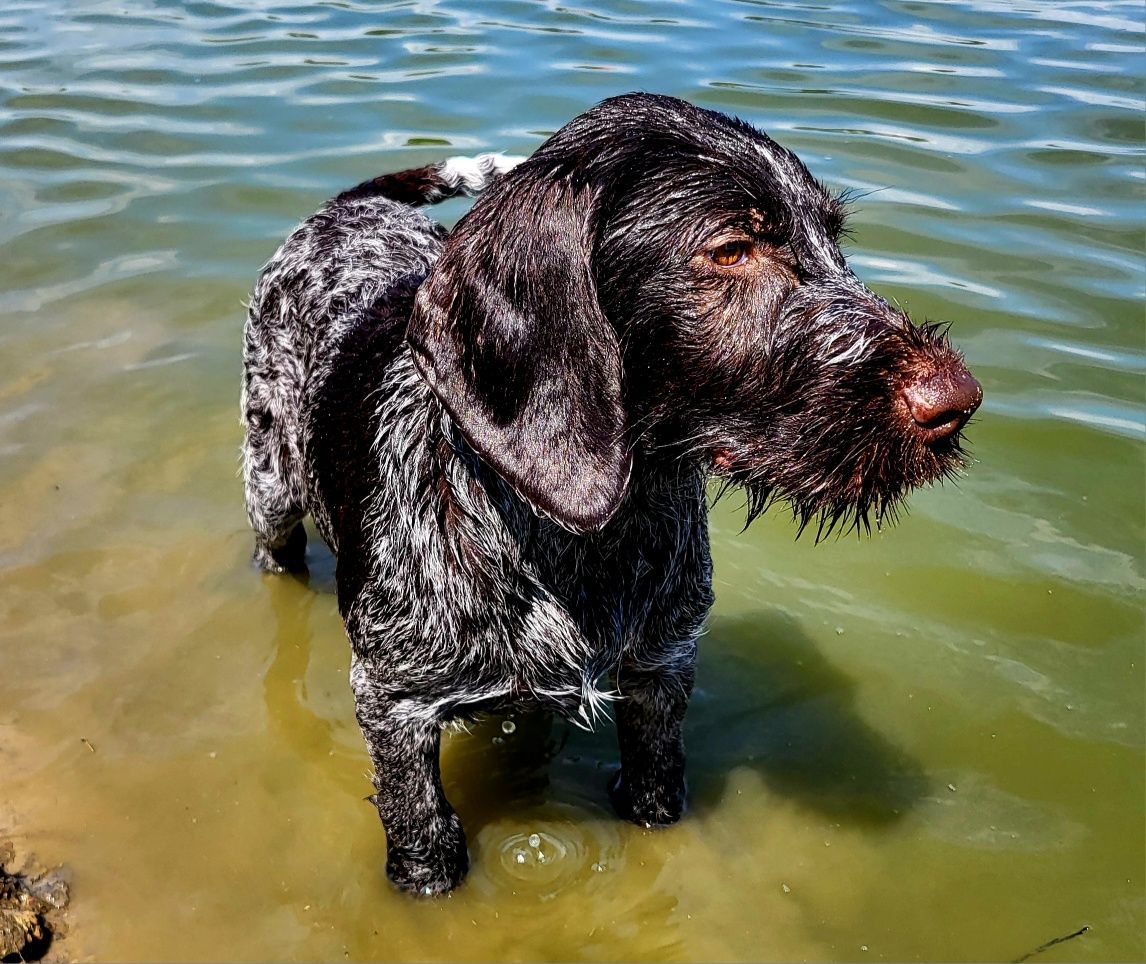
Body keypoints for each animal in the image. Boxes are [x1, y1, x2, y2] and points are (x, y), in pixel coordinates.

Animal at [237, 92, 980, 894]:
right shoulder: (394, 703)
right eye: (730, 251)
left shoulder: (662, 674)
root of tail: (350, 207)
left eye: (835, 242)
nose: (957, 404)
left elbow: (657, 788)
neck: (586, 544)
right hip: (270, 488)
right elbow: (424, 842)